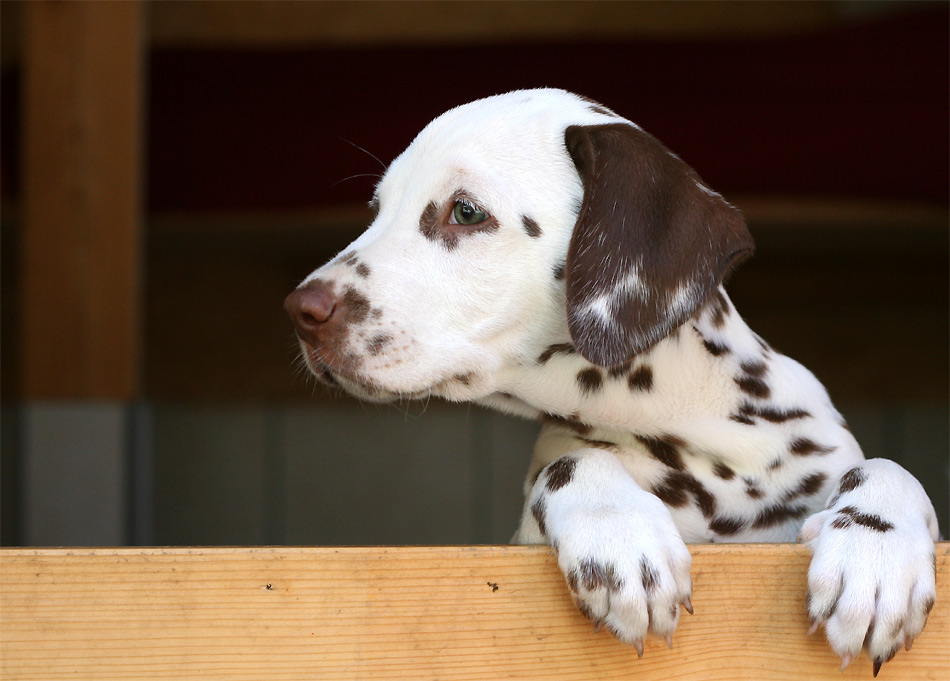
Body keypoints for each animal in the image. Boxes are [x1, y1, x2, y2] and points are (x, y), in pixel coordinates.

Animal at [282, 89, 936, 676]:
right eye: (378, 209)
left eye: (465, 211)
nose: (300, 311)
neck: (695, 429)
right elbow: (570, 462)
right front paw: (619, 534)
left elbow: (888, 468)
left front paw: (877, 551)